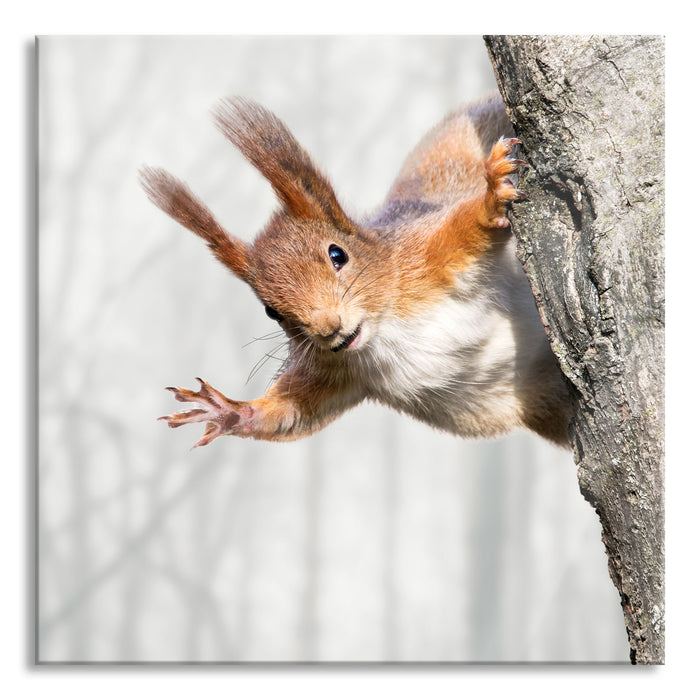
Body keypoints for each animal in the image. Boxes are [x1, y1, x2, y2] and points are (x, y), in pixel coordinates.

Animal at [139, 93, 572, 448]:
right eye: (270, 311)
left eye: (338, 255)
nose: (329, 329)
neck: (385, 329)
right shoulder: (335, 371)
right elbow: (293, 413)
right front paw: (229, 410)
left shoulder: (425, 256)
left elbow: (465, 227)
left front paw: (491, 196)